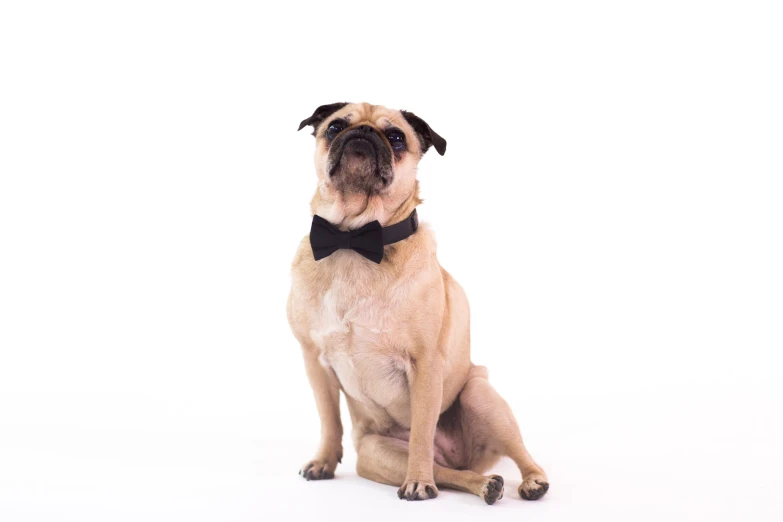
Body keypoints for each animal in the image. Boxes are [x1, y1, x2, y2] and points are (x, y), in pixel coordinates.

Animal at [284, 102, 548, 504]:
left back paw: (531, 481)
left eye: (396, 138)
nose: (363, 132)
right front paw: (323, 462)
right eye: (335, 127)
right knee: (451, 473)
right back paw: (484, 484)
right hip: (376, 453)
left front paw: (419, 482)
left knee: (517, 453)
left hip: (480, 394)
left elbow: (422, 431)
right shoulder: (315, 361)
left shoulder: (424, 365)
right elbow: (329, 420)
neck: (353, 241)